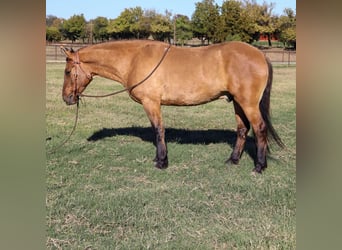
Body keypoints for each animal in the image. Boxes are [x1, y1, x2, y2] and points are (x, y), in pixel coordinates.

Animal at [60, 40, 284, 173]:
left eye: (68, 71)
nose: (66, 98)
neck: (134, 59)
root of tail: (259, 54)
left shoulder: (151, 103)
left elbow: (158, 130)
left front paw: (161, 161)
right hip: (237, 102)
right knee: (242, 129)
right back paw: (233, 160)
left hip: (248, 103)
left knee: (260, 129)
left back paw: (259, 166)